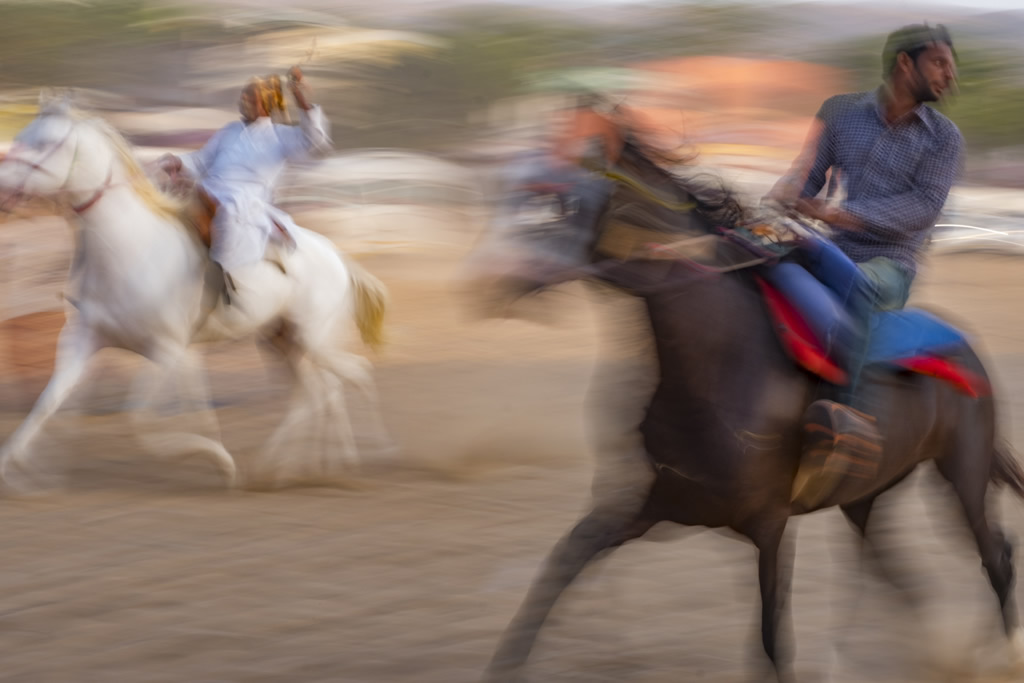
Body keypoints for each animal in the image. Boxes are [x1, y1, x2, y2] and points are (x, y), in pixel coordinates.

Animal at [0, 94, 387, 491]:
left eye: (44, 143)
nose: (3, 182)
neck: (129, 248)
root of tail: (337, 256)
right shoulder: (85, 338)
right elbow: (48, 402)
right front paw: (17, 469)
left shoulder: (168, 350)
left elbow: (141, 419)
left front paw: (218, 461)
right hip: (280, 340)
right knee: (316, 391)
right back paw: (297, 466)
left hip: (313, 337)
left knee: (349, 377)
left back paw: (359, 455)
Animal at [473, 102, 1024, 683]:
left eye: (553, 197)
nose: (489, 279)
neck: (716, 365)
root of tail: (965, 346)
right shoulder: (643, 506)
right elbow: (559, 569)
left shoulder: (769, 524)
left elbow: (771, 639)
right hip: (868, 491)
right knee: (897, 568)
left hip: (963, 470)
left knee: (995, 554)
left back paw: (1003, 652)